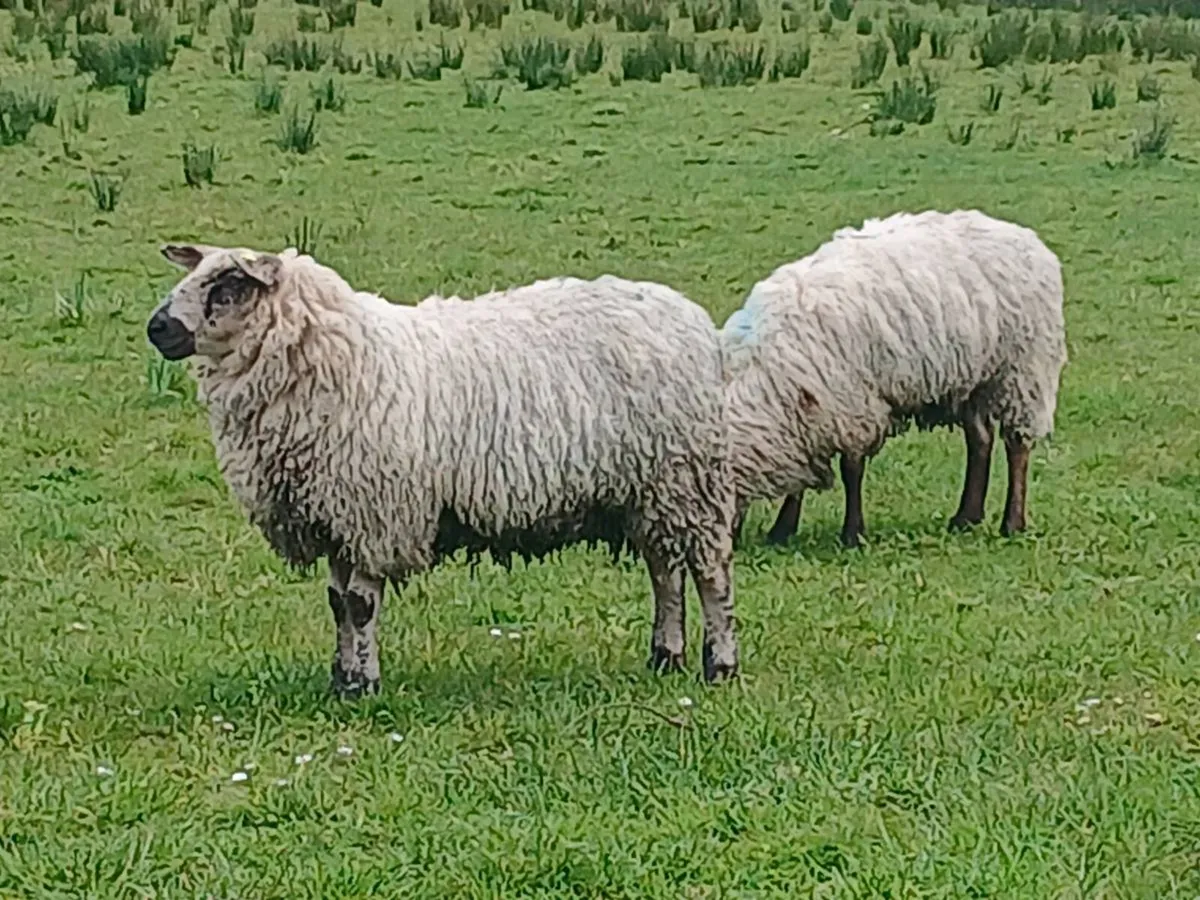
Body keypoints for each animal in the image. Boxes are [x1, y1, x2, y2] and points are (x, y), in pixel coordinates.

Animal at [145, 243, 739, 697]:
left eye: (228, 286)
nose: (157, 328)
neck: (343, 358)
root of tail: (691, 318)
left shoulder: (375, 514)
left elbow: (360, 605)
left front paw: (364, 686)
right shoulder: (335, 518)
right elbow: (337, 604)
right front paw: (341, 680)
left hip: (689, 482)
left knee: (710, 574)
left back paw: (720, 665)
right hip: (649, 491)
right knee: (664, 571)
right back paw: (665, 656)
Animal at [723, 208, 1067, 548]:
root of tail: (1026, 238)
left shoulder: (851, 404)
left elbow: (851, 469)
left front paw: (852, 533)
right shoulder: (812, 411)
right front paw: (782, 530)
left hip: (1022, 371)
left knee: (1017, 444)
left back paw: (1012, 523)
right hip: (972, 377)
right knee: (980, 439)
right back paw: (966, 517)